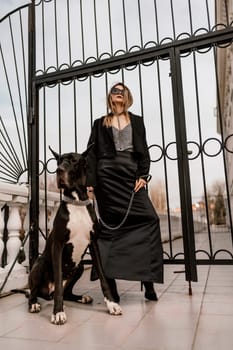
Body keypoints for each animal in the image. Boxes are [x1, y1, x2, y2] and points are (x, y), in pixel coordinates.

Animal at [27, 146, 122, 324]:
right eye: (58, 161)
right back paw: (34, 304)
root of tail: (47, 293)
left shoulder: (93, 243)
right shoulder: (58, 245)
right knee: (34, 292)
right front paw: (58, 312)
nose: (59, 170)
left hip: (79, 266)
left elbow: (103, 277)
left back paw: (80, 298)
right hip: (40, 264)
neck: (77, 201)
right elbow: (58, 281)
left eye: (74, 161)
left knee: (66, 293)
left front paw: (112, 304)